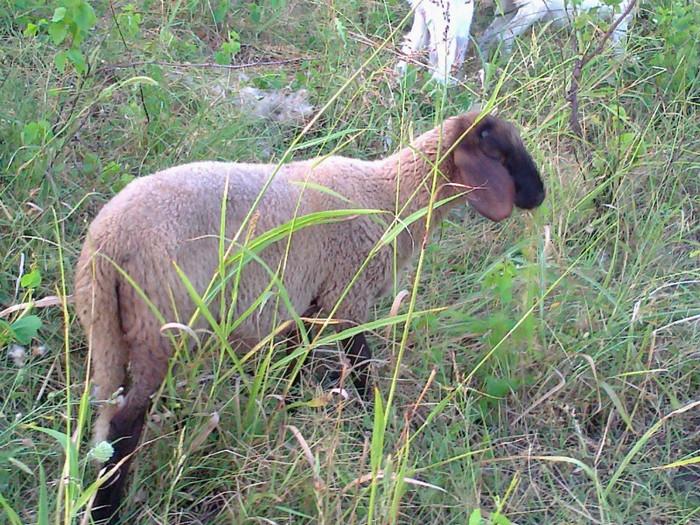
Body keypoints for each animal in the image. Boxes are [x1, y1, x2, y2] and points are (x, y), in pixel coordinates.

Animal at [76, 109, 548, 520]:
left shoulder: (305, 302)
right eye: (502, 154)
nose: (540, 195)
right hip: (158, 323)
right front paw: (376, 421)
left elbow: (295, 365)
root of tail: (108, 241)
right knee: (125, 425)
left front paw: (291, 413)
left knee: (106, 418)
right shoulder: (347, 295)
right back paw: (106, 512)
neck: (390, 195)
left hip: (109, 331)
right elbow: (362, 367)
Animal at [478, 0, 636, 56]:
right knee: (505, 35)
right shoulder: (622, 13)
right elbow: (620, 46)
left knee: (487, 34)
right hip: (532, 9)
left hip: (506, 8)